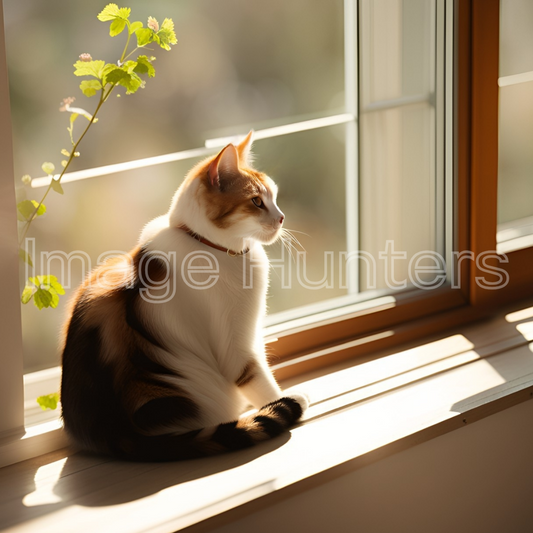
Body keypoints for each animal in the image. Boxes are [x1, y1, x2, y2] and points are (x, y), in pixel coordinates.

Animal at [60, 131, 308, 460]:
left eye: (274, 198)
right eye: (256, 201)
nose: (281, 217)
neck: (205, 243)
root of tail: (116, 435)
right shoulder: (237, 343)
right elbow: (259, 380)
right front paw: (281, 401)